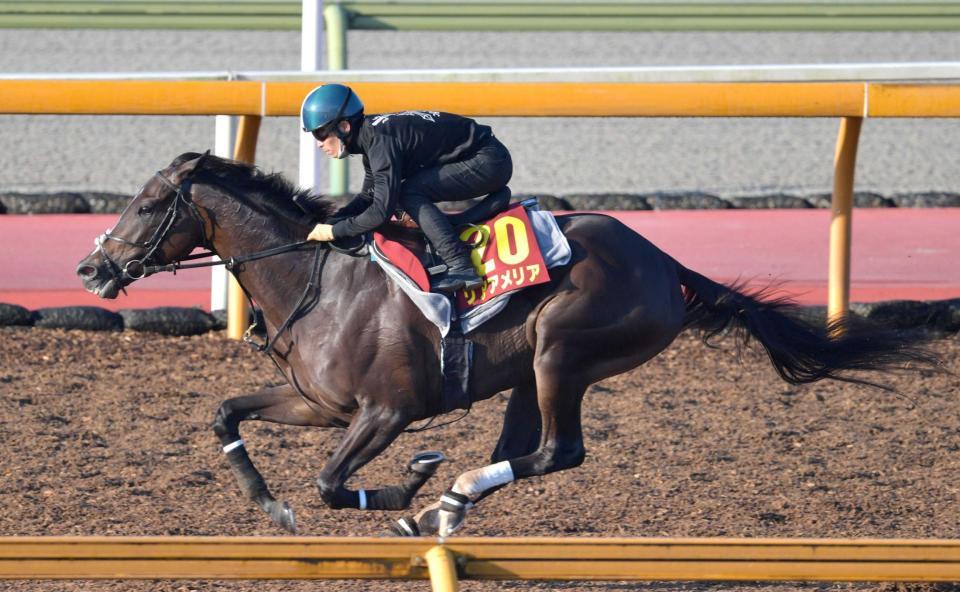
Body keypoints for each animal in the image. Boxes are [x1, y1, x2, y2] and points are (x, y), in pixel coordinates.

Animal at [75, 150, 936, 536]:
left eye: (148, 204)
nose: (91, 266)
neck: (320, 281)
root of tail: (666, 262)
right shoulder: (320, 404)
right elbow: (227, 415)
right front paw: (269, 503)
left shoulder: (384, 412)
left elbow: (330, 482)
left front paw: (408, 486)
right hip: (529, 369)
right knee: (527, 447)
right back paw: (453, 502)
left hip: (561, 351)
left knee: (559, 451)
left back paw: (446, 496)